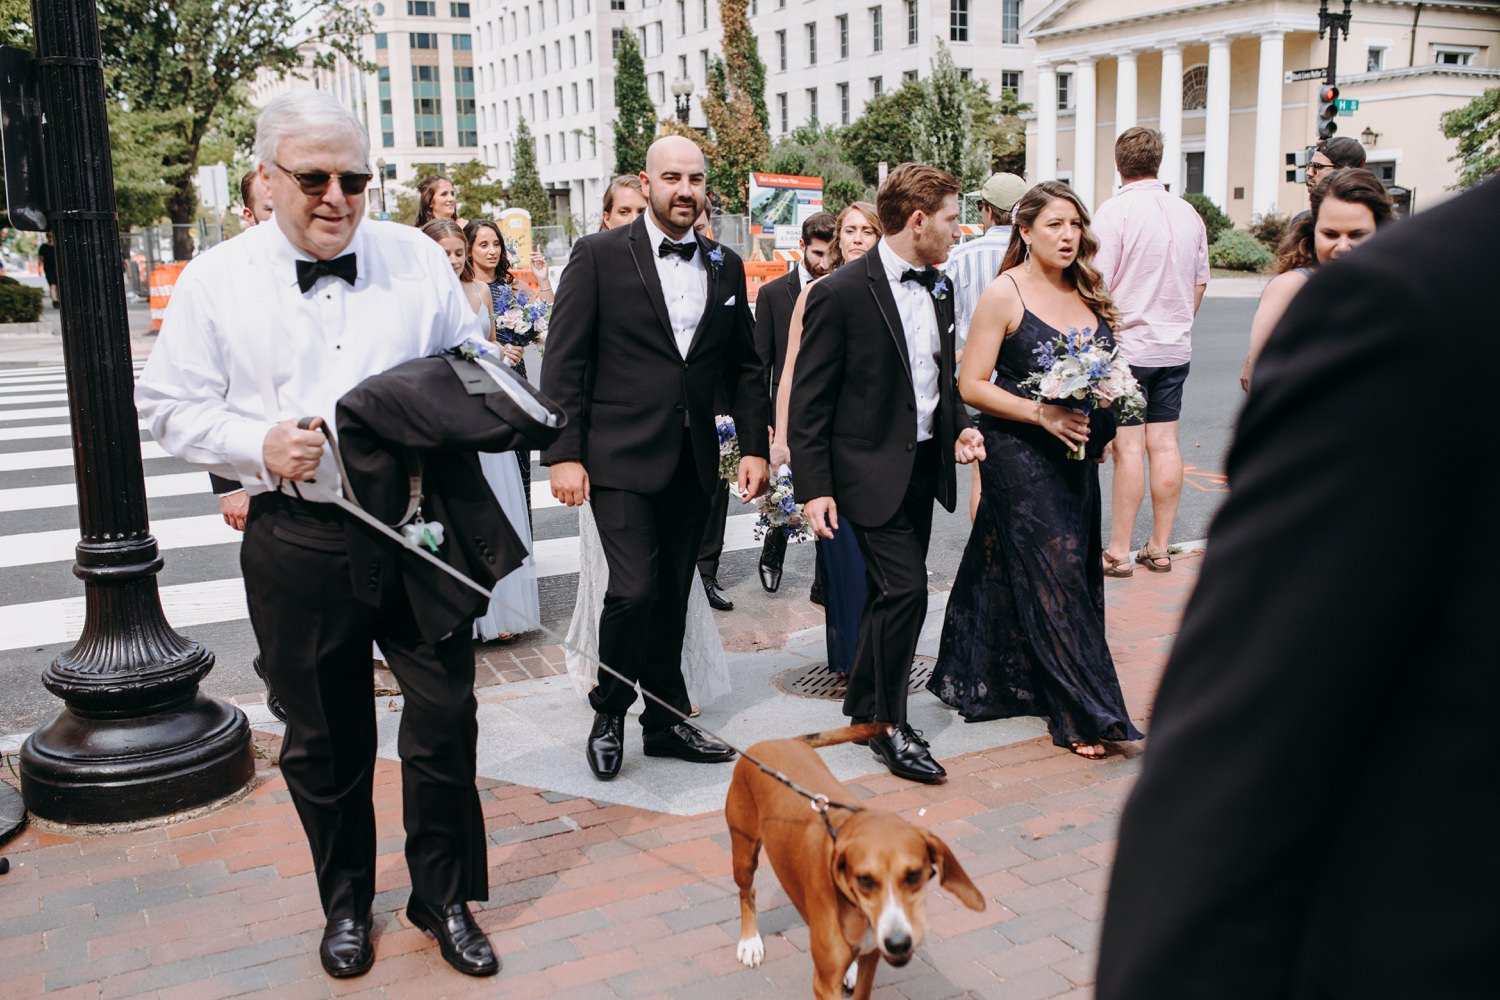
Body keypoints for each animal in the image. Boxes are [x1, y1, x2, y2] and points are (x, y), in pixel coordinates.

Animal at [723, 728, 984, 1000]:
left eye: (914, 875)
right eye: (865, 880)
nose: (898, 943)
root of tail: (776, 741)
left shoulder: (871, 958)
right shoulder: (825, 984)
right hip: (744, 853)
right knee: (746, 892)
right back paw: (749, 942)